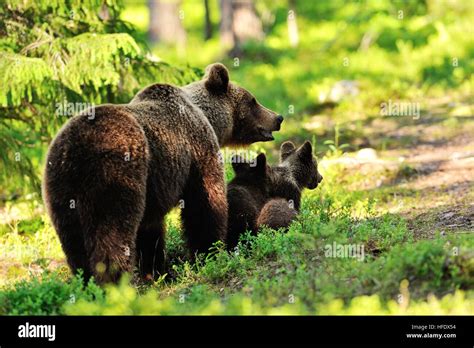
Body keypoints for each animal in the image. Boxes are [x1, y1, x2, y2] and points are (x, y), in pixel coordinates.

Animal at [42, 64, 282, 284]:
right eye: (252, 100)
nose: (278, 117)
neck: (208, 117)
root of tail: (78, 149)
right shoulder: (197, 149)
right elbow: (205, 205)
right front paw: (209, 253)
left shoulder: (155, 185)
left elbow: (151, 229)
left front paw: (155, 271)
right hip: (115, 175)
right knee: (112, 232)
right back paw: (115, 282)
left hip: (61, 188)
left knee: (73, 240)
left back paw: (87, 283)